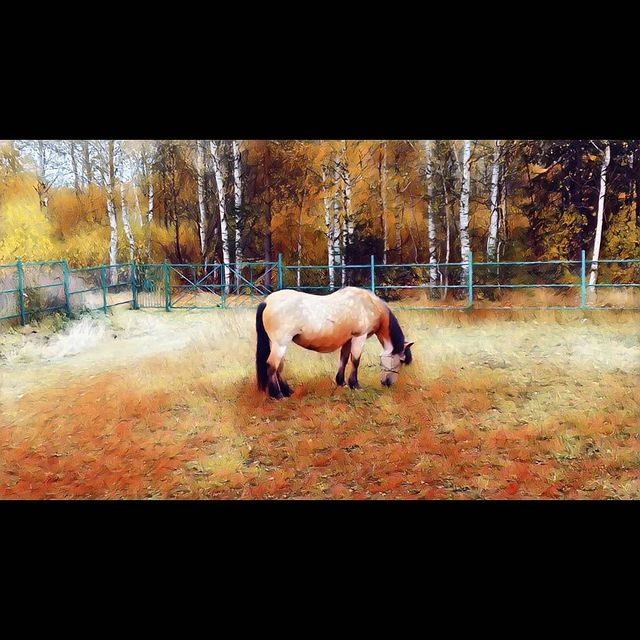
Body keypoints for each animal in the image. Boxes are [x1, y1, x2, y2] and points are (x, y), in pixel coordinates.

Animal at [255, 287, 414, 399]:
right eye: (401, 360)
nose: (388, 383)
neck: (368, 304)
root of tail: (267, 302)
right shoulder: (359, 337)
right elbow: (355, 361)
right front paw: (355, 385)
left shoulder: (348, 339)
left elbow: (344, 359)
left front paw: (341, 382)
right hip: (280, 344)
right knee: (271, 366)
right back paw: (278, 395)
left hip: (277, 344)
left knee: (279, 367)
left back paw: (288, 391)